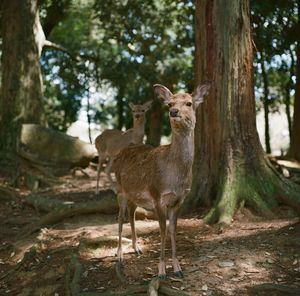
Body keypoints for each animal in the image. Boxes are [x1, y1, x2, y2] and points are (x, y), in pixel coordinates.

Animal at [113, 82, 211, 280]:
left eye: (189, 103)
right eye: (169, 103)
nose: (174, 111)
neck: (175, 177)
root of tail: (121, 153)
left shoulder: (180, 199)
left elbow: (173, 229)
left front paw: (178, 268)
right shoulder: (157, 195)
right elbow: (162, 230)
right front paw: (161, 271)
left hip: (134, 195)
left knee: (131, 213)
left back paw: (136, 247)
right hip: (120, 189)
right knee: (119, 218)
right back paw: (119, 256)